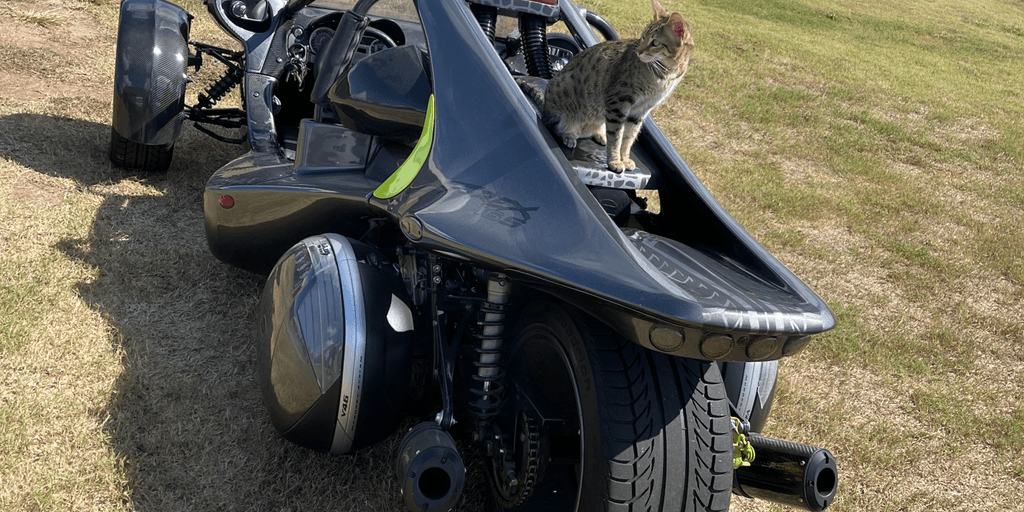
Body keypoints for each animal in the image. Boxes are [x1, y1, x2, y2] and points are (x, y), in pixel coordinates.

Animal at [536, 0, 696, 173]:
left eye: (655, 43)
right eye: (643, 37)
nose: (639, 51)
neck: (665, 75)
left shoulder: (640, 111)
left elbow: (628, 139)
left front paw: (624, 159)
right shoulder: (618, 103)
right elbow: (616, 137)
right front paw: (614, 161)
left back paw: (599, 134)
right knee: (556, 127)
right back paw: (569, 135)